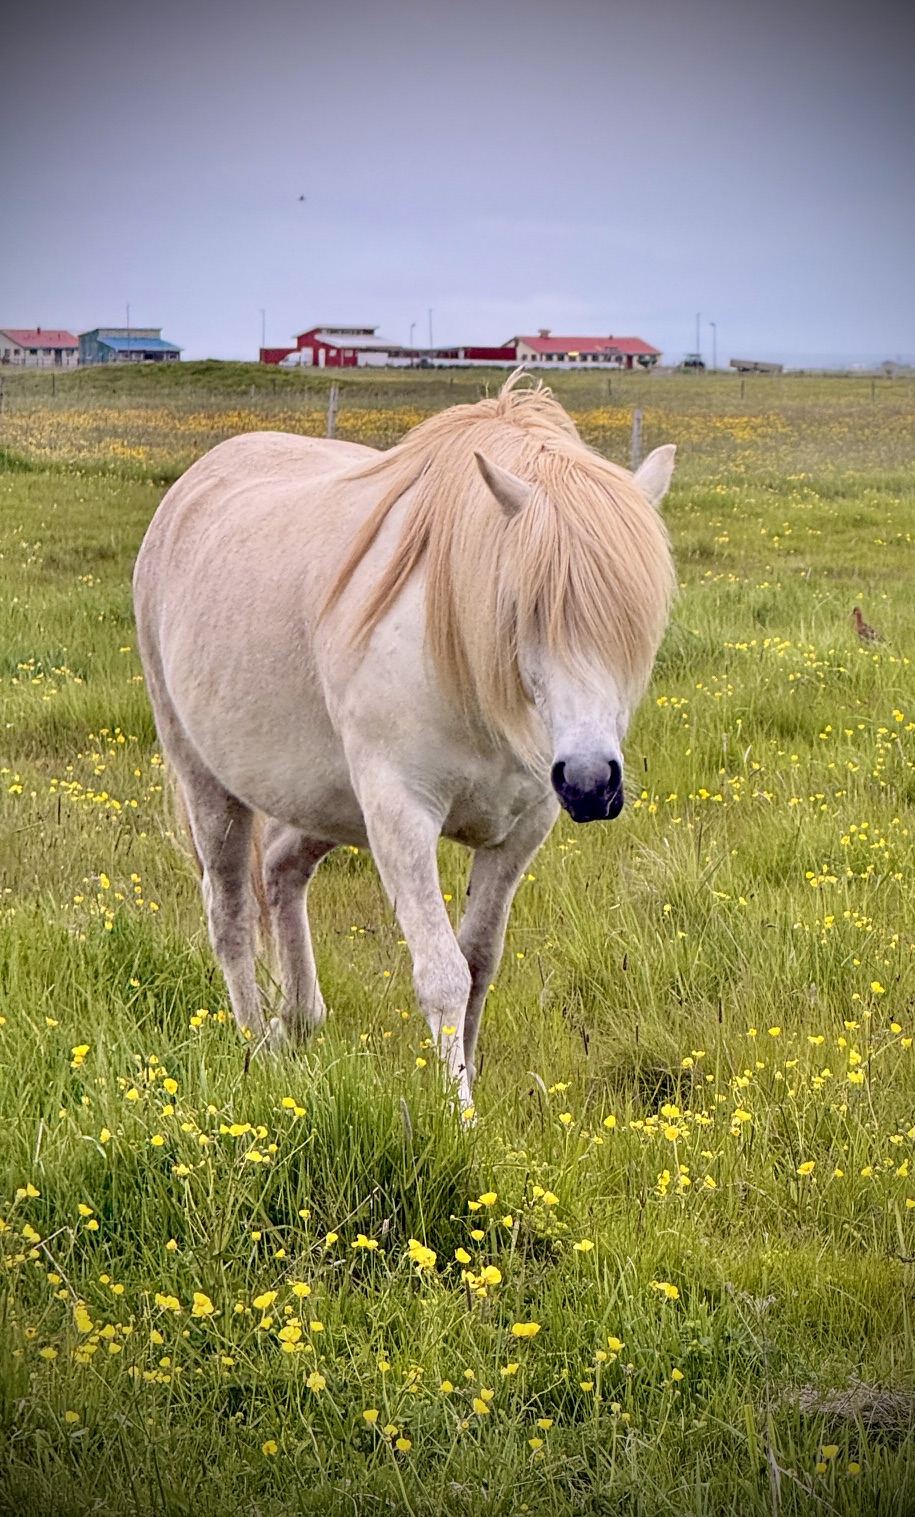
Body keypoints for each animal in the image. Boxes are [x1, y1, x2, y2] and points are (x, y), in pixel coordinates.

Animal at [133, 374, 676, 1111]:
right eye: (525, 610)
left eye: (634, 623)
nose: (590, 783)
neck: (466, 671)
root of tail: (192, 484)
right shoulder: (400, 814)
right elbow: (443, 972)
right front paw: (460, 1116)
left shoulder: (521, 828)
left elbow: (479, 963)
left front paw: (469, 1077)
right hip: (208, 781)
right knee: (231, 913)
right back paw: (255, 1048)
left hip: (325, 799)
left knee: (281, 867)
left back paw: (298, 1023)